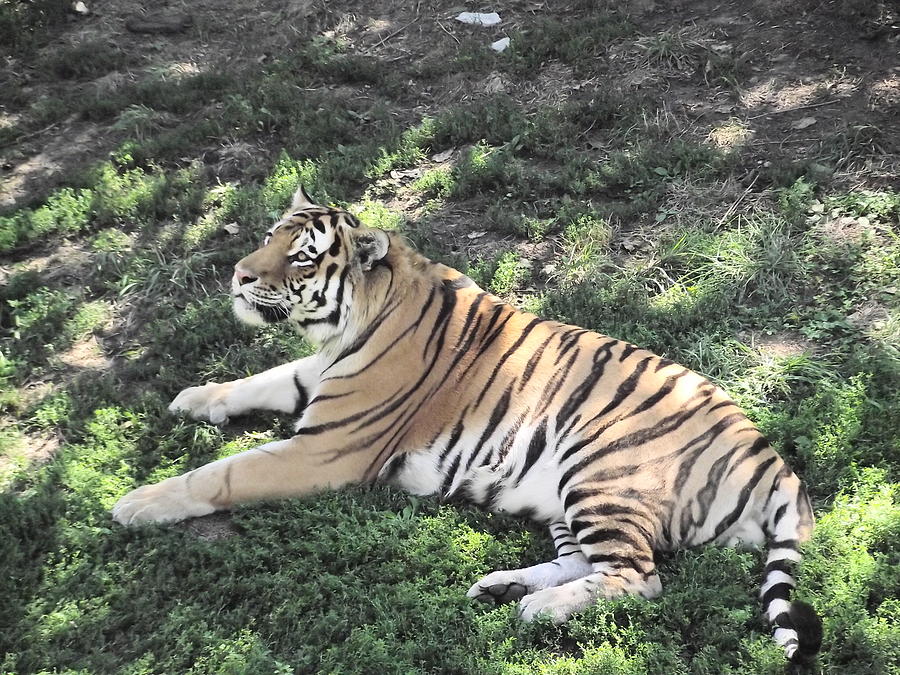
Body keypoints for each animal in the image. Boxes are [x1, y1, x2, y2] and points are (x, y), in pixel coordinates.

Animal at [112, 187, 824, 664]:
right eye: (268, 238)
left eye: (301, 259)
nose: (238, 276)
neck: (348, 325)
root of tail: (775, 463)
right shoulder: (311, 378)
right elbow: (257, 380)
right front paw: (193, 397)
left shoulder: (324, 450)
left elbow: (220, 474)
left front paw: (136, 503)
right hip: (562, 498)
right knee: (586, 560)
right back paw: (501, 585)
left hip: (599, 471)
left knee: (641, 578)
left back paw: (538, 609)